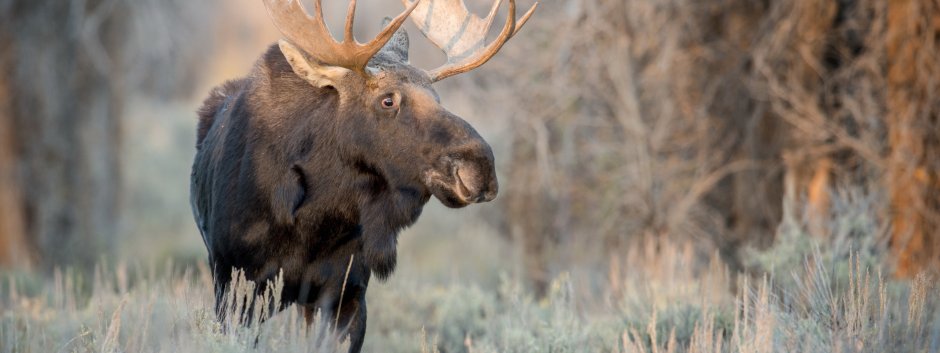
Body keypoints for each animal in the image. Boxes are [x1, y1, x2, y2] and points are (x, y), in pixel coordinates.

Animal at [191, 0, 536, 348]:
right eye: (388, 100)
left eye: (437, 98)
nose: (480, 167)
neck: (313, 223)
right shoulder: (237, 287)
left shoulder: (348, 291)